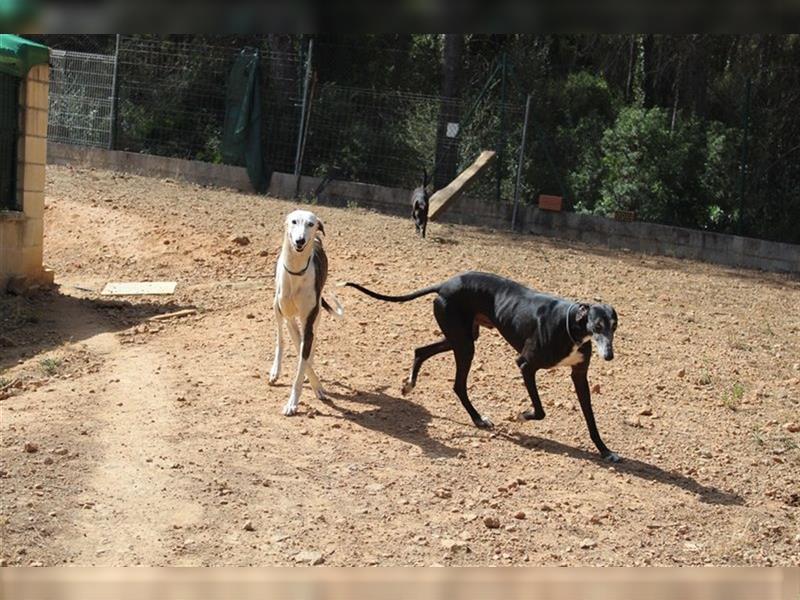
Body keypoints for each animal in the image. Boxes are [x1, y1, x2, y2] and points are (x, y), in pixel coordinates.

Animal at [270, 209, 342, 414]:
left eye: (311, 224)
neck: (296, 273)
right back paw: (275, 371)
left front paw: (294, 401)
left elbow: (303, 357)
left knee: (313, 341)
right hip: (276, 308)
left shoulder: (309, 321)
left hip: (316, 317)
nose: (300, 241)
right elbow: (296, 344)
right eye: (294, 221)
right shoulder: (288, 318)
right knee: (281, 339)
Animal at [342, 274, 620, 464]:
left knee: (420, 350)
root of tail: (445, 284)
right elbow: (540, 411)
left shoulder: (579, 376)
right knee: (458, 385)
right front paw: (522, 415)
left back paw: (410, 384)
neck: (571, 324)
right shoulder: (525, 365)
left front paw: (605, 451)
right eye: (597, 326)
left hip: (462, 338)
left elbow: (591, 419)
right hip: (464, 344)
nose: (609, 356)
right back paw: (478, 418)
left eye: (614, 326)